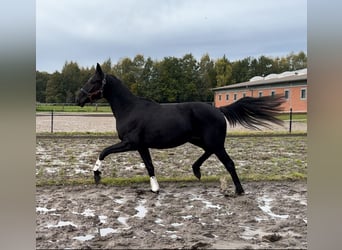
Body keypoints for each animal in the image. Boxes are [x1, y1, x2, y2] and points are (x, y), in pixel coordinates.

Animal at [76, 63, 284, 194]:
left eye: (94, 81)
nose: (78, 98)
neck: (129, 109)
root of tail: (217, 110)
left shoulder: (130, 143)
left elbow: (104, 151)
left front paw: (96, 174)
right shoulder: (141, 146)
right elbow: (149, 165)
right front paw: (155, 188)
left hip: (214, 143)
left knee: (229, 163)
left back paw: (239, 190)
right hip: (201, 141)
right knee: (209, 153)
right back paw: (196, 170)